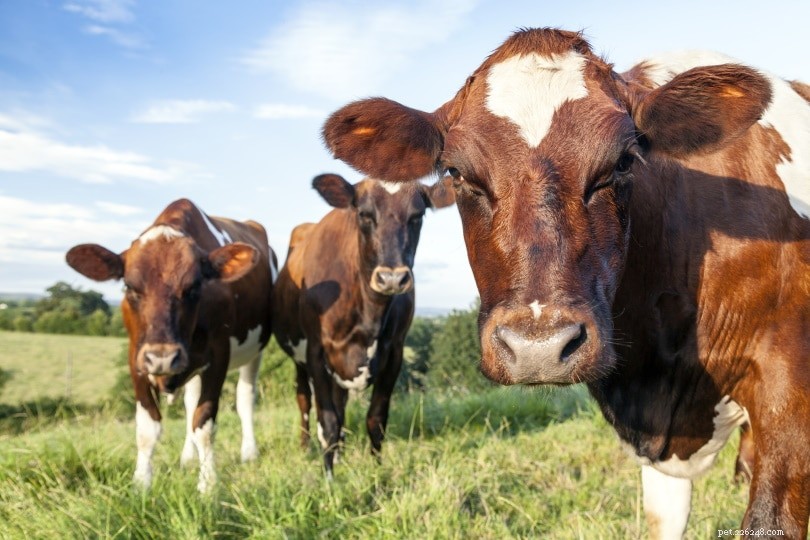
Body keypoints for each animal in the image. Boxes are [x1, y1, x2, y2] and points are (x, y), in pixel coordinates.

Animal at [66, 198, 277, 493]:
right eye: (130, 286)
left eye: (194, 287)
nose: (163, 358)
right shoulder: (137, 357)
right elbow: (148, 428)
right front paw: (141, 483)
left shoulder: (218, 356)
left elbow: (204, 423)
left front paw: (208, 484)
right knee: (189, 402)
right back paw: (188, 458)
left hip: (255, 350)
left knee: (245, 398)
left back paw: (249, 452)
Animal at [272, 173, 453, 478]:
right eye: (364, 214)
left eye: (417, 216)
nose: (392, 278)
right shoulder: (316, 351)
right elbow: (328, 422)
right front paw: (329, 478)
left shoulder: (395, 352)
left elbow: (375, 418)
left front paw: (376, 469)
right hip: (298, 359)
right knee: (304, 401)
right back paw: (306, 448)